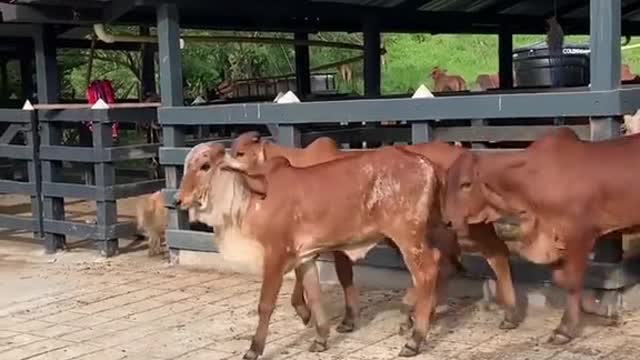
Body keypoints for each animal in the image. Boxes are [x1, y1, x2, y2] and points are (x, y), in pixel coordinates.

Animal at [176, 142, 444, 358]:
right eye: (186, 167)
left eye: (205, 165)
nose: (179, 200)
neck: (247, 201)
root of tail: (426, 164)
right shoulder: (305, 257)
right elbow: (314, 296)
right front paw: (320, 338)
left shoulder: (275, 255)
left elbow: (265, 304)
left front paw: (254, 349)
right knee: (435, 263)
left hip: (407, 236)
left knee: (427, 272)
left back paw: (415, 339)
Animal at [442, 128, 640, 344]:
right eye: (446, 183)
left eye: (466, 184)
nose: (447, 221)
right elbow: (561, 279)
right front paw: (602, 311)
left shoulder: (580, 235)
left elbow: (572, 282)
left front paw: (564, 329)